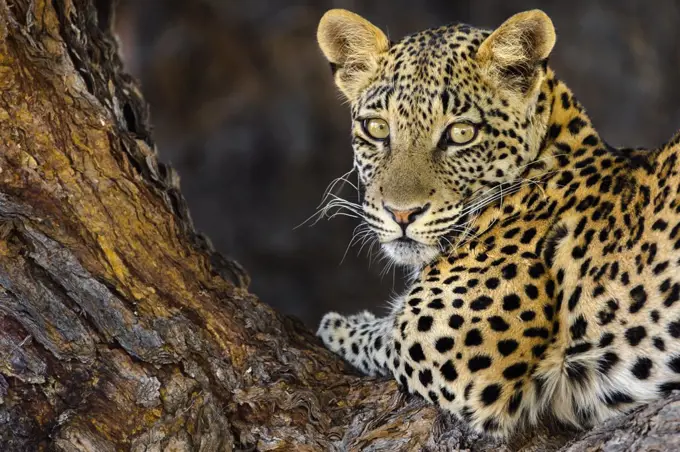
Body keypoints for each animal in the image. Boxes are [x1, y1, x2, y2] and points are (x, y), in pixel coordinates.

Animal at [314, 7, 680, 438]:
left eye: (461, 133)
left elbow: (380, 336)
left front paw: (338, 323)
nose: (401, 214)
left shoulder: (444, 351)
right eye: (377, 128)